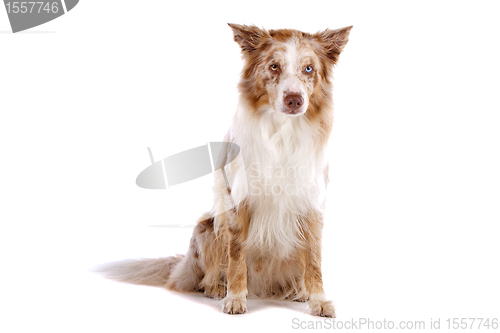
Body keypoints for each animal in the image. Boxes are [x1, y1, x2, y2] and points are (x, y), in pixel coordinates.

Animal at [94, 23, 352, 316]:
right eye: (274, 66)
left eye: (309, 69)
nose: (295, 100)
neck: (282, 134)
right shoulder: (237, 197)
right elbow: (236, 255)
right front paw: (235, 298)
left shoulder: (312, 201)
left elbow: (314, 258)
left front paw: (318, 299)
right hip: (205, 228)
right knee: (207, 272)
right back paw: (216, 287)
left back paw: (298, 291)